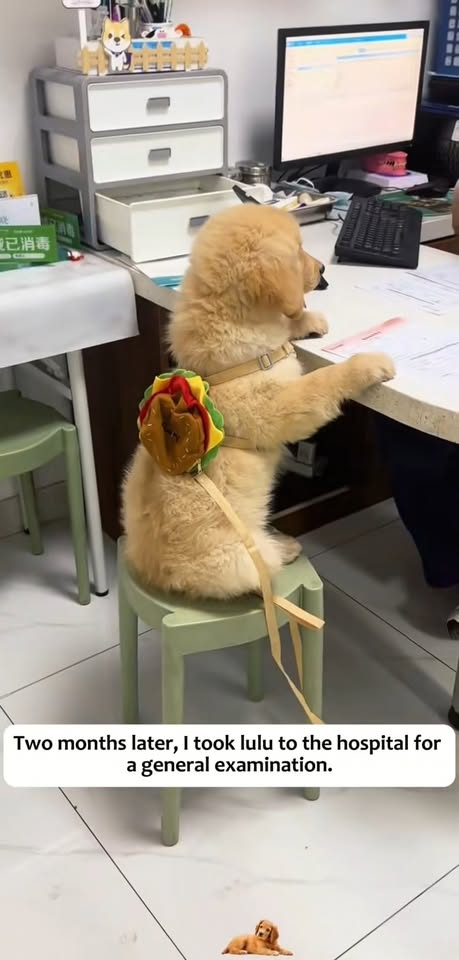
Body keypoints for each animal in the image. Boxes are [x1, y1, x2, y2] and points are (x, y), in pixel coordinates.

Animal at [122, 204, 395, 600]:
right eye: (298, 251)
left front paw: (308, 320)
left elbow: (287, 323)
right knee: (260, 570)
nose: (323, 269)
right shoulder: (282, 406)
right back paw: (284, 547)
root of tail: (151, 572)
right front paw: (369, 364)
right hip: (242, 559)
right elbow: (324, 381)